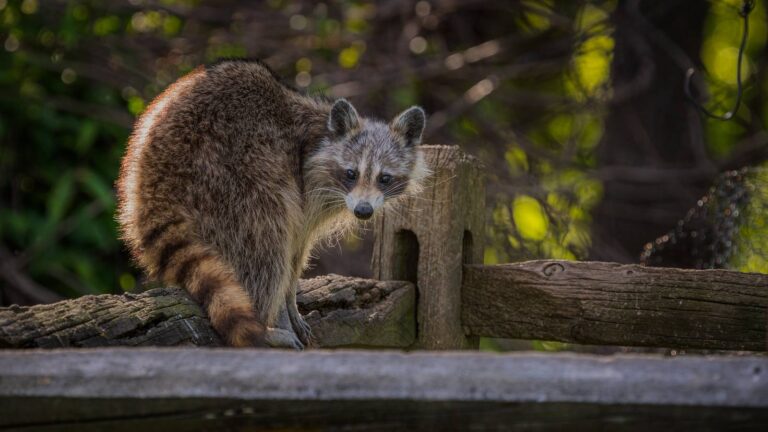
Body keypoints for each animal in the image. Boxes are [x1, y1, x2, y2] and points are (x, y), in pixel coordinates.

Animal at [116, 59, 428, 349]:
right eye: (351, 173)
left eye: (384, 178)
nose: (363, 211)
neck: (320, 137)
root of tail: (151, 183)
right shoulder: (303, 183)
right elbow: (286, 245)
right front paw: (281, 311)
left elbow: (298, 250)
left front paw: (290, 299)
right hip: (227, 173)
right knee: (267, 233)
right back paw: (265, 324)